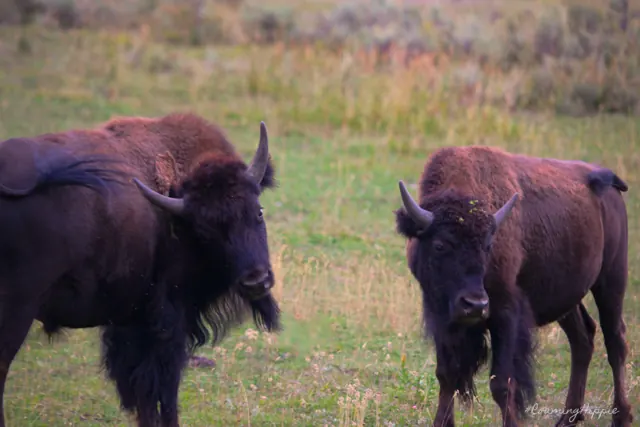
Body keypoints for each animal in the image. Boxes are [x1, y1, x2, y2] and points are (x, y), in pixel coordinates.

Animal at [0, 113, 281, 427]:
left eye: (258, 211)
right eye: (205, 231)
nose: (256, 281)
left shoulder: (129, 321)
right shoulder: (170, 321)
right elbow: (163, 388)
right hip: (17, 312)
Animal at [395, 146, 632, 427]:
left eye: (488, 246)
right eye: (440, 244)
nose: (475, 305)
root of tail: (607, 179)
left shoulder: (505, 315)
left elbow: (502, 383)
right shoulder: (441, 316)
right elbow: (447, 374)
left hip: (611, 280)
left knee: (615, 342)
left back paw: (621, 417)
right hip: (567, 298)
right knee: (582, 339)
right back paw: (567, 419)